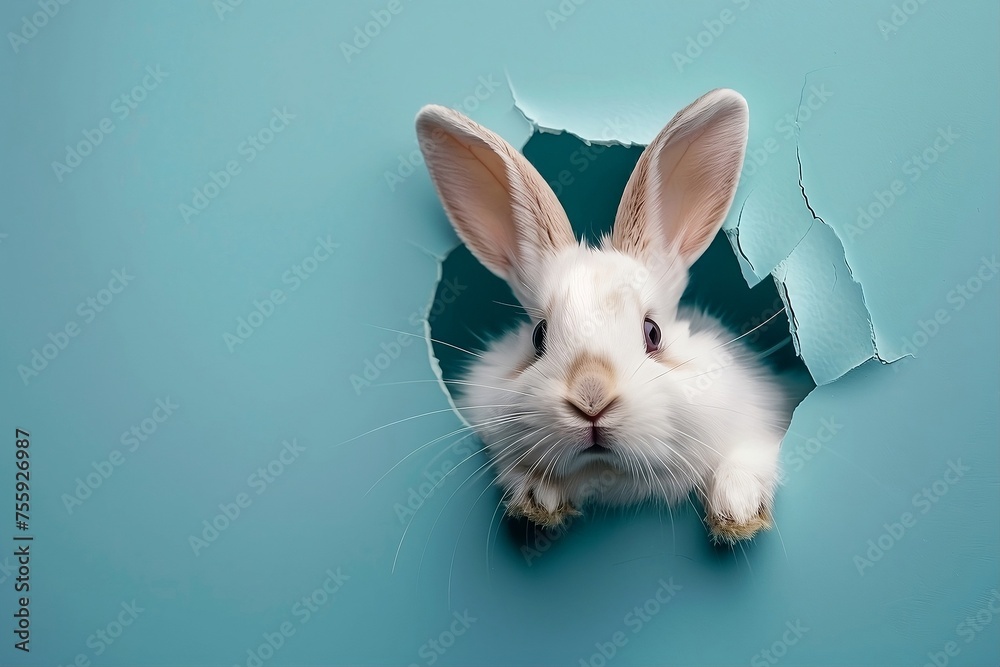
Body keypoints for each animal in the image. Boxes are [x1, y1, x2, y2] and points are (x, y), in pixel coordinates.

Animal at [415, 89, 797, 543]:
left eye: (653, 332)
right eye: (538, 336)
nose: (591, 399)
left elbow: (750, 456)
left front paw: (736, 510)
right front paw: (536, 499)